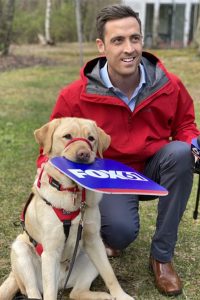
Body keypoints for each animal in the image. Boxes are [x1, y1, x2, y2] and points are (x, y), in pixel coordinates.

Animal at [0, 118, 134, 300]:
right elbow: (49, 294)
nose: (84, 154)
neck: (73, 193)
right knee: (34, 292)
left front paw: (121, 295)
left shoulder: (94, 240)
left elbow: (109, 274)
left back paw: (102, 296)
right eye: (67, 136)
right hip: (21, 251)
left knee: (76, 292)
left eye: (91, 138)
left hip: (93, 254)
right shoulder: (51, 252)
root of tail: (63, 281)